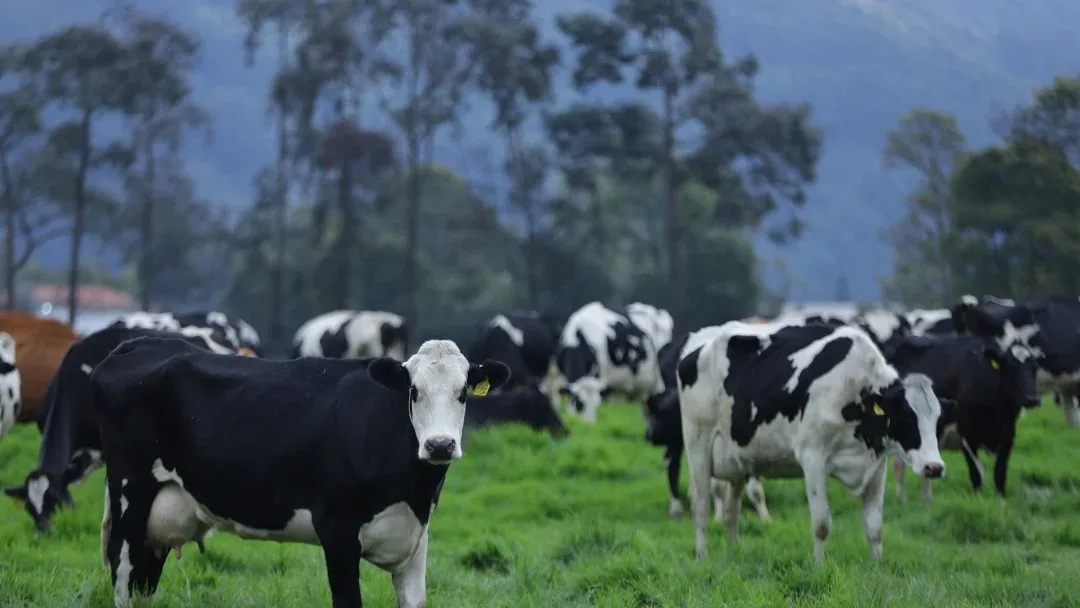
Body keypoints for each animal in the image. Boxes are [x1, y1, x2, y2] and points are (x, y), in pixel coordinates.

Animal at [90, 336, 507, 608]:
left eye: (463, 393)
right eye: (414, 391)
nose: (440, 445)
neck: (413, 493)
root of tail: (138, 343)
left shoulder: (416, 539)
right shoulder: (337, 531)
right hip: (131, 495)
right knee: (123, 573)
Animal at [678, 321, 950, 565]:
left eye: (937, 418)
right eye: (905, 418)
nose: (934, 467)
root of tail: (699, 341)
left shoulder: (876, 464)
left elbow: (874, 526)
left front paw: (878, 567)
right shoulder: (813, 458)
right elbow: (821, 524)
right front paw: (819, 568)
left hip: (737, 459)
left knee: (730, 513)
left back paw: (734, 553)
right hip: (698, 445)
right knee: (700, 506)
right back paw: (702, 558)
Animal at [885, 334, 1036, 501]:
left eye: (1035, 369)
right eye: (1012, 368)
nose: (1032, 398)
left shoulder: (1008, 435)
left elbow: (1000, 475)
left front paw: (1001, 501)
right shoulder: (967, 435)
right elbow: (977, 474)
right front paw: (978, 500)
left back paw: (926, 500)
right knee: (899, 466)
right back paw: (902, 500)